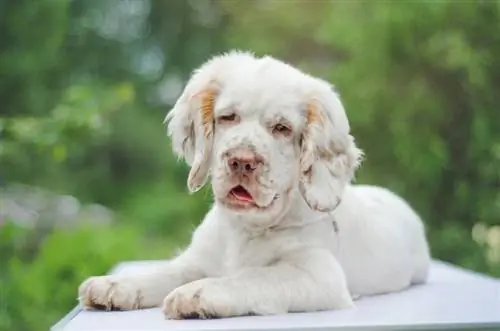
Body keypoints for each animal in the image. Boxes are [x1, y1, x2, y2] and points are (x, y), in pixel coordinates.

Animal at [78, 50, 430, 320]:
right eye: (228, 117)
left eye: (282, 128)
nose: (242, 161)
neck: (245, 228)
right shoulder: (199, 260)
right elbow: (168, 271)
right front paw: (115, 286)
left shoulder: (319, 274)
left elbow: (257, 275)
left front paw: (199, 293)